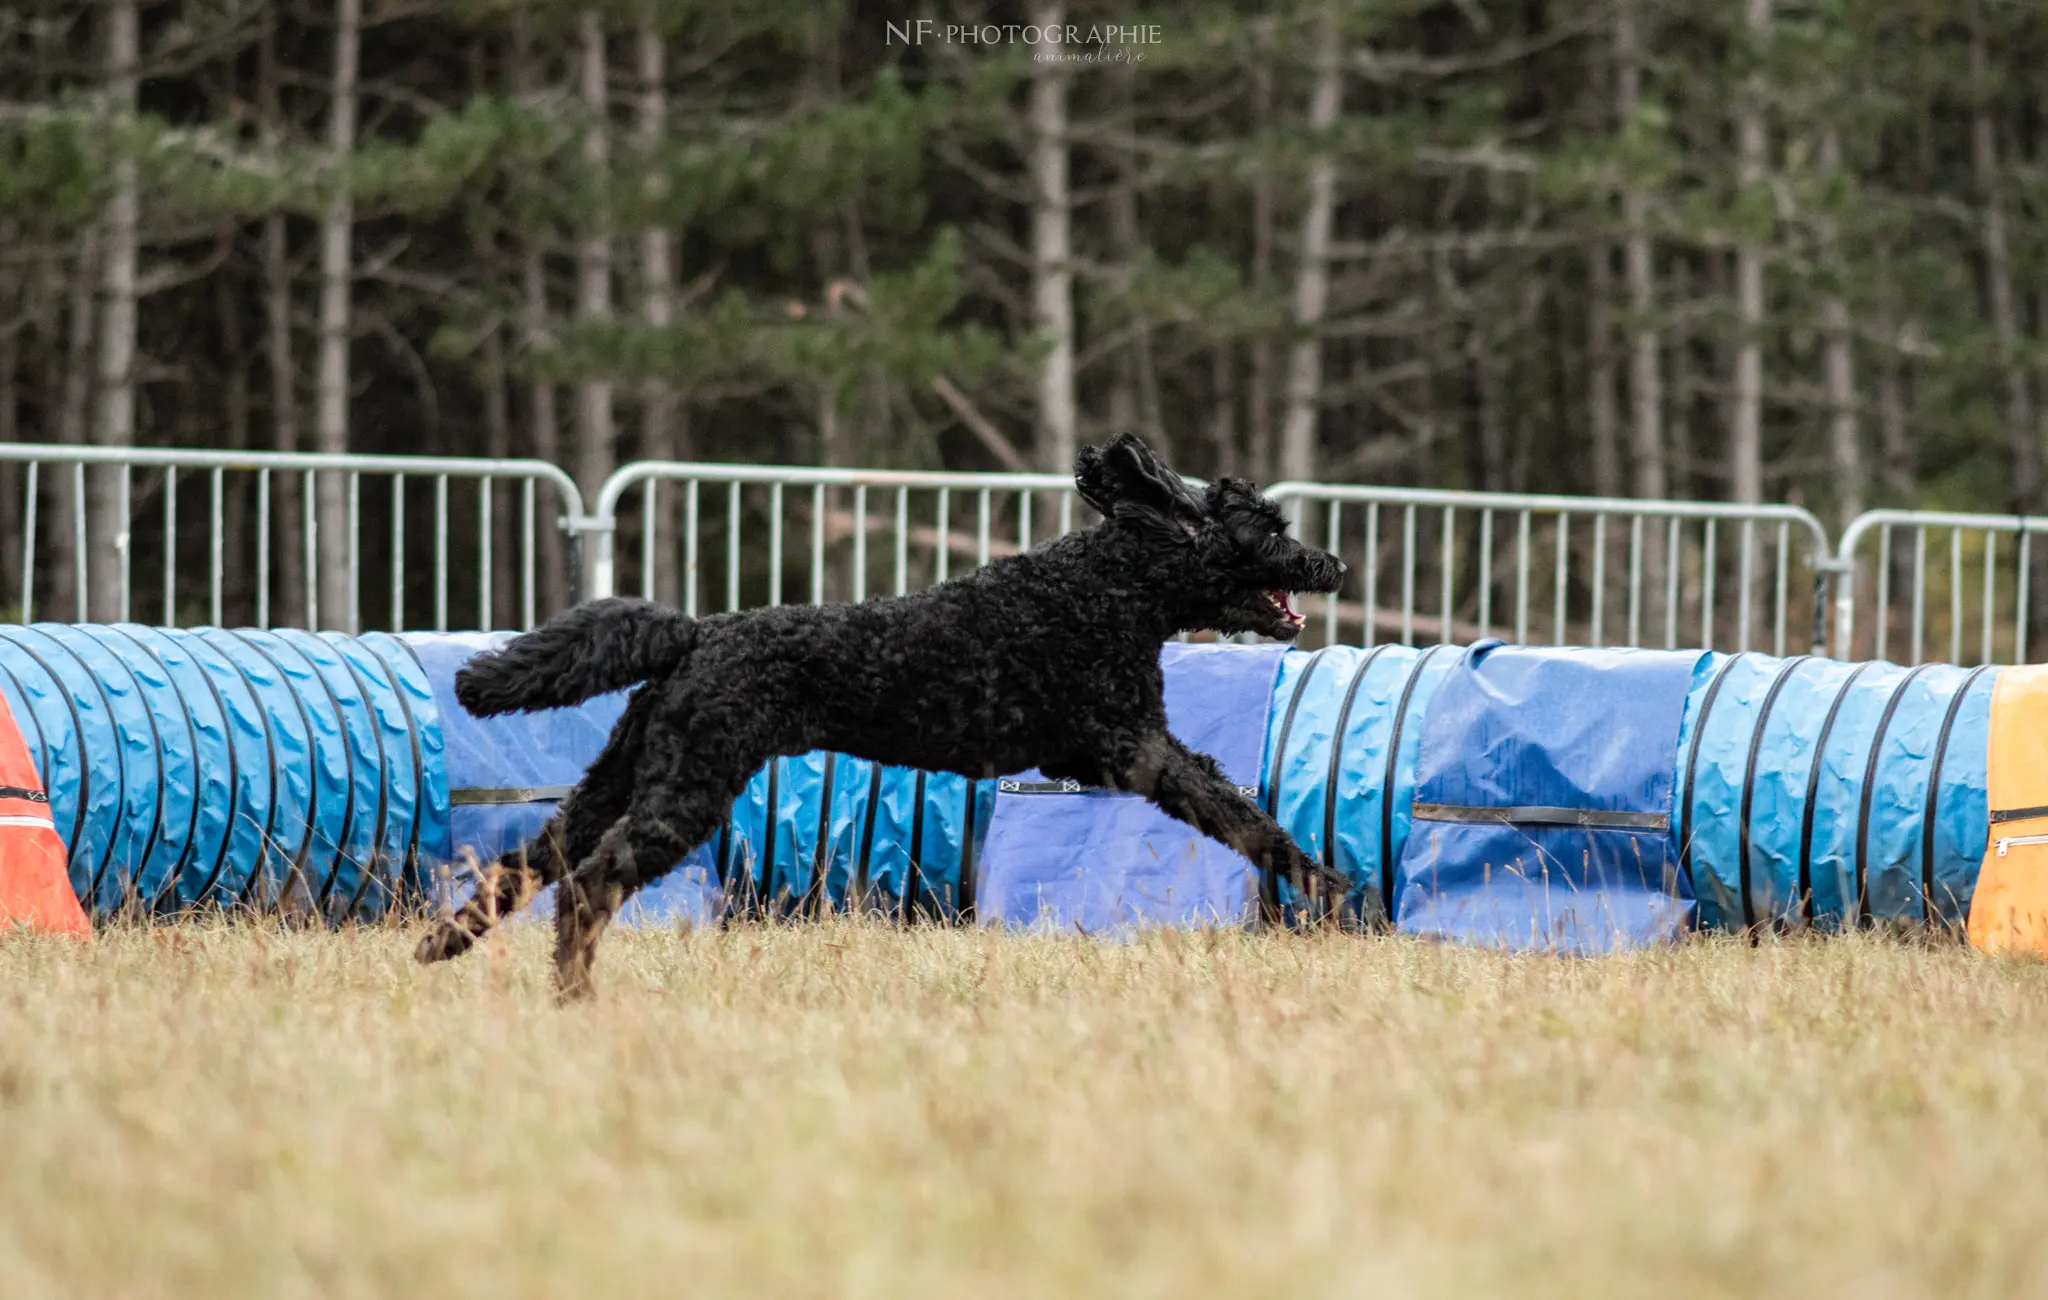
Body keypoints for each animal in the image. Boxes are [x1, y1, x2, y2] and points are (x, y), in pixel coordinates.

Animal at [413, 431, 1343, 1003]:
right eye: (1267, 528)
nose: (1329, 562)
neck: (1110, 586)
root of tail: (697, 635)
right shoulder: (1132, 746)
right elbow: (1233, 811)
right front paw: (1322, 881)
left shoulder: (1102, 753)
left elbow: (1228, 800)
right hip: (685, 792)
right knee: (586, 885)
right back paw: (574, 997)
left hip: (622, 774)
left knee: (527, 863)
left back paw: (439, 947)